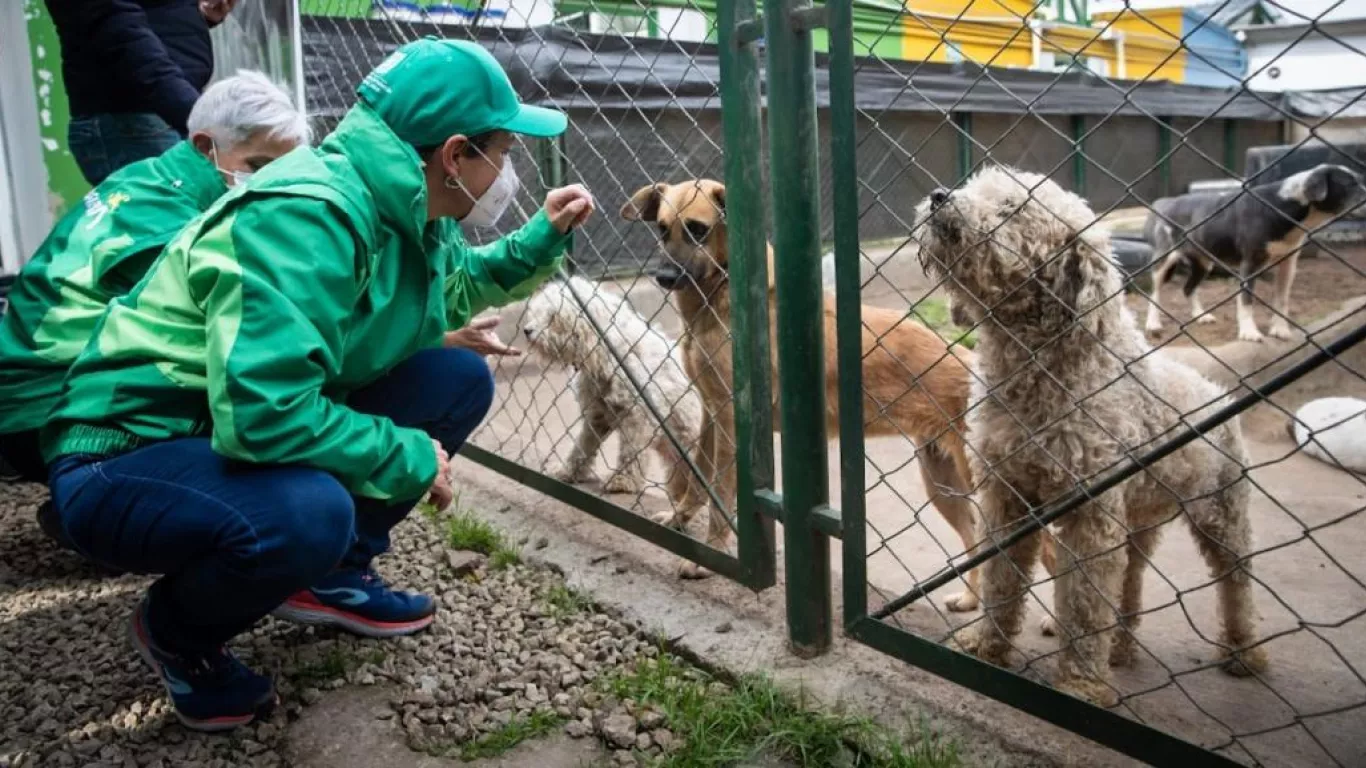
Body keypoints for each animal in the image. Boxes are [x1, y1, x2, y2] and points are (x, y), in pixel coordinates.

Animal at [521, 274, 715, 532]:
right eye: (536, 311)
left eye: (553, 317)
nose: (526, 330)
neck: (607, 351)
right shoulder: (597, 415)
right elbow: (582, 446)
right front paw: (568, 470)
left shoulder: (639, 415)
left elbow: (630, 453)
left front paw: (622, 481)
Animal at [912, 167, 1273, 705]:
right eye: (975, 186)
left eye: (1014, 208)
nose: (939, 196)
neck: (1040, 371)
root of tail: (1213, 387)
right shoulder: (1006, 494)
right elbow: (1001, 579)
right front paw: (985, 644)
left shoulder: (1090, 513)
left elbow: (1083, 602)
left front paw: (1080, 684)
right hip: (1140, 519)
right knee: (1130, 580)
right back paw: (1121, 650)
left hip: (1222, 513)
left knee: (1236, 581)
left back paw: (1244, 651)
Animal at [1141, 162, 1366, 338]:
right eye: (1349, 184)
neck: (1285, 204)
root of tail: (1167, 203)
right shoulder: (1250, 263)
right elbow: (1246, 300)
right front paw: (1249, 332)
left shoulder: (1288, 264)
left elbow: (1282, 300)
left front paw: (1280, 329)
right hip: (1164, 261)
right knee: (1155, 294)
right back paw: (1153, 323)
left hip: (1204, 263)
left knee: (1188, 288)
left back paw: (1201, 316)